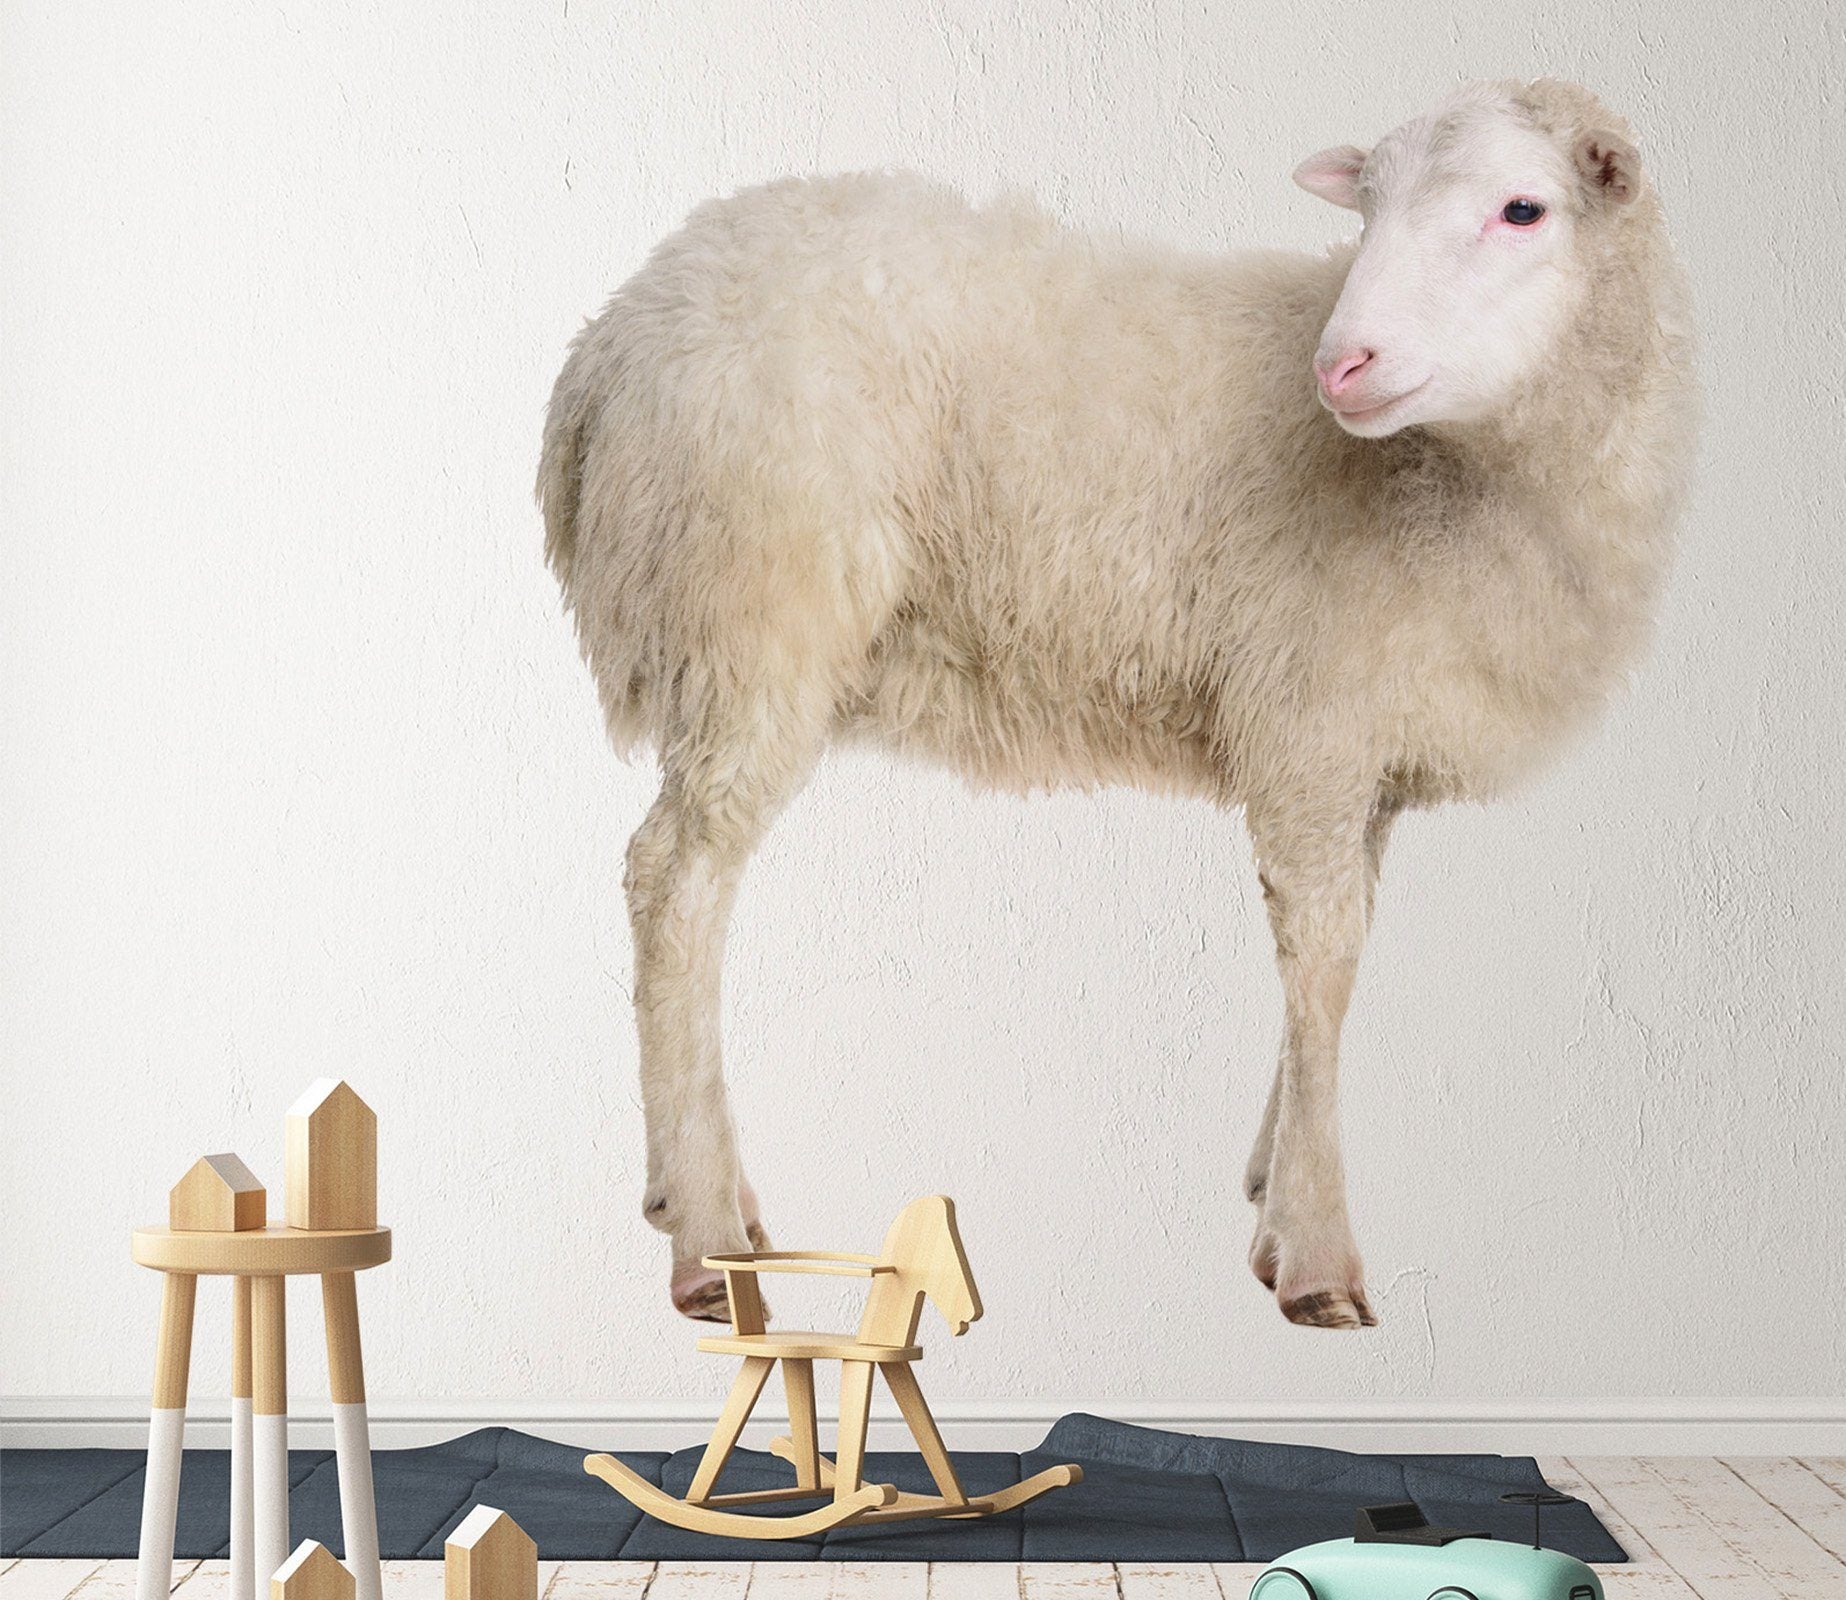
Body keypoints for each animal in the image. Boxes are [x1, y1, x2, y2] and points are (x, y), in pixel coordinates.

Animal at [538, 78, 1697, 1330]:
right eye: (1369, 206)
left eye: (1523, 208)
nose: (1339, 365)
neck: (1466, 480)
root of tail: (615, 334)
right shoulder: (1306, 721)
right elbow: (1322, 964)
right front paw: (1316, 1254)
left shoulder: (1355, 751)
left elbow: (1334, 955)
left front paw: (1272, 1184)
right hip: (753, 616)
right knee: (676, 883)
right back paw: (707, 1236)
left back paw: (689, 1197)